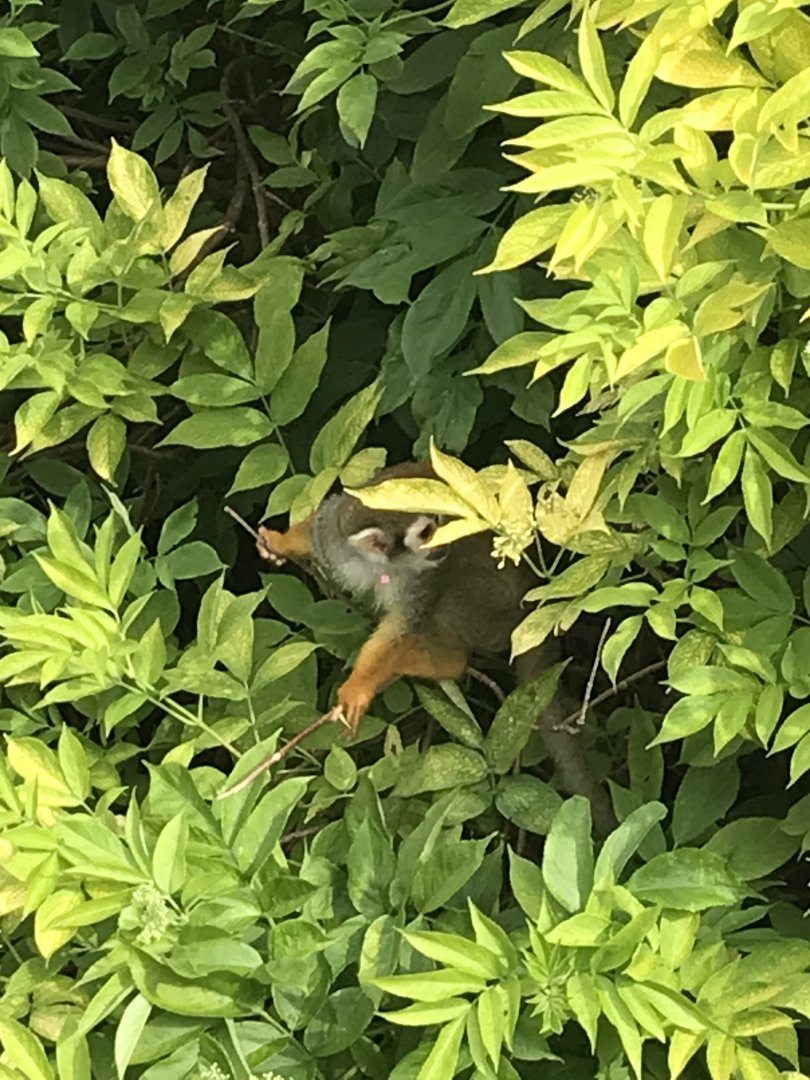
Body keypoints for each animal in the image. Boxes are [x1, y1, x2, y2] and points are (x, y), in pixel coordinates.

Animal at [256, 461, 532, 735]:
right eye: (427, 533)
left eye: (439, 519)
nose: (445, 542)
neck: (379, 561)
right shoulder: (334, 537)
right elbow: (316, 531)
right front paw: (279, 542)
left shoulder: (427, 574)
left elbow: (401, 628)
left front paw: (358, 686)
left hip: (497, 612)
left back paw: (450, 662)